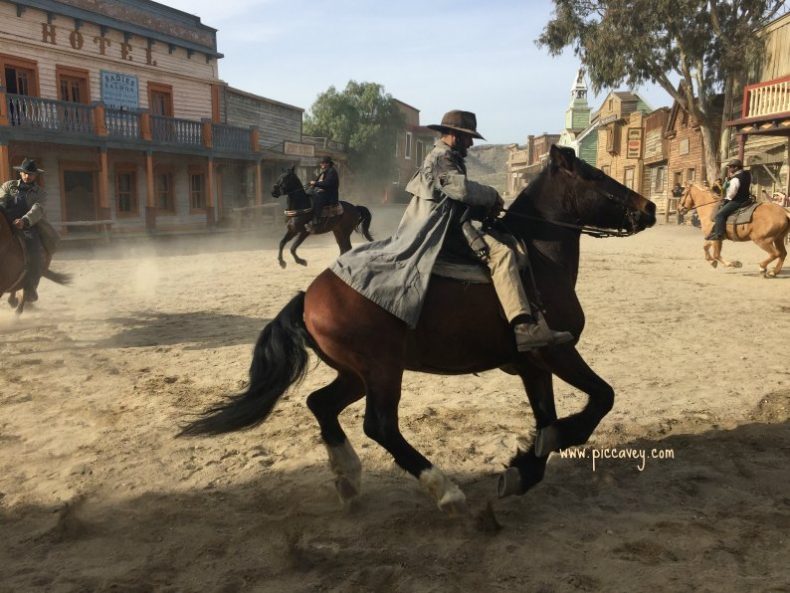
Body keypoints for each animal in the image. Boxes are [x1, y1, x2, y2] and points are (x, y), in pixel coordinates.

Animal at [183, 147, 660, 512]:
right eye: (596, 176)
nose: (650, 207)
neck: (538, 259)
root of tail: (309, 295)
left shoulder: (533, 365)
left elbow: (547, 419)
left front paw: (523, 469)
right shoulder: (557, 352)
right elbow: (600, 399)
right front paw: (555, 442)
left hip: (357, 374)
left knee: (321, 404)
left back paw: (349, 480)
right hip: (381, 372)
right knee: (379, 427)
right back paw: (443, 489)